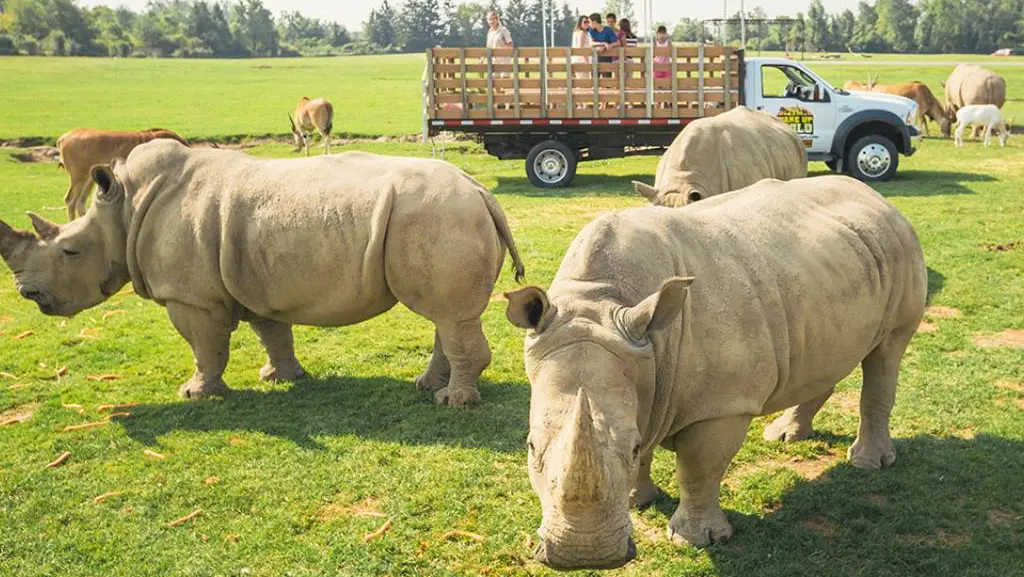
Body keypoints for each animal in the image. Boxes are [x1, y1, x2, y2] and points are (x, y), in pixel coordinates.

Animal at [0, 139, 525, 406]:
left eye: (69, 251)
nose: (28, 293)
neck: (123, 211)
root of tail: (482, 192)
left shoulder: (190, 296)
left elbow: (204, 346)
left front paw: (195, 394)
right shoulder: (255, 278)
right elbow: (273, 331)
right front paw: (280, 377)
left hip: (440, 216)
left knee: (449, 315)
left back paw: (453, 403)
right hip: (442, 216)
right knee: (446, 315)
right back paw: (428, 387)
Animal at [504, 175, 926, 570]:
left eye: (632, 445)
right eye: (530, 446)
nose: (584, 556)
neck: (600, 298)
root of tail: (878, 199)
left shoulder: (722, 405)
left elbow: (698, 467)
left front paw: (695, 539)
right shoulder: (641, 371)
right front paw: (637, 501)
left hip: (901, 248)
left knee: (887, 351)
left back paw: (867, 462)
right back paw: (784, 436)